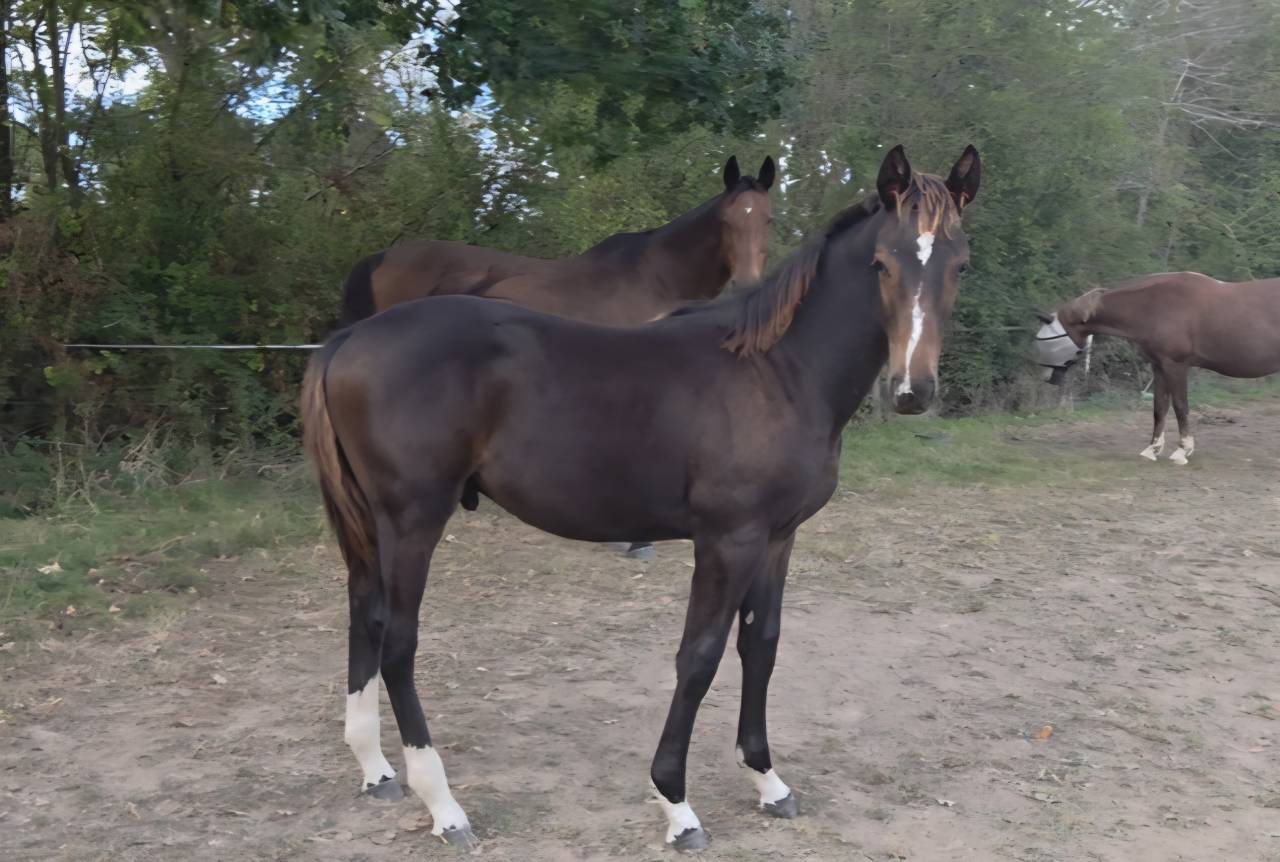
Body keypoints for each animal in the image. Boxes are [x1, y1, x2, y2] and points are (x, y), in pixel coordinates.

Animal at [1034, 272, 1280, 464]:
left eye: (1045, 340)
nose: (1047, 377)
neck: (1154, 305)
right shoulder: (1159, 366)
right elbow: (1159, 407)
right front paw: (1152, 449)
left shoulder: (1175, 365)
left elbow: (1180, 406)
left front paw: (1182, 450)